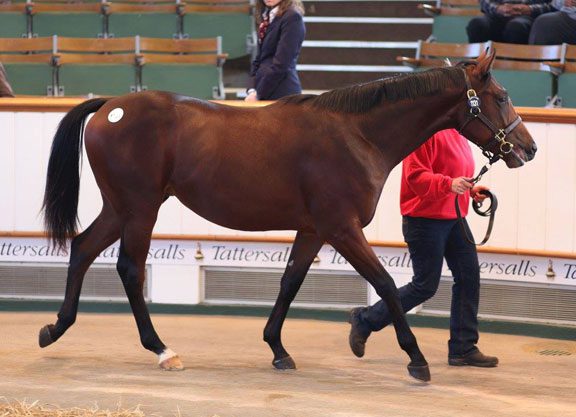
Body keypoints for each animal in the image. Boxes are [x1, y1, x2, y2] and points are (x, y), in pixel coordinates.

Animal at [40, 48, 536, 382]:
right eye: (502, 96)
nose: (528, 148)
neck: (357, 134)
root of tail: (110, 106)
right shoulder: (342, 228)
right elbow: (385, 283)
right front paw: (416, 359)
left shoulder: (314, 229)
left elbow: (290, 282)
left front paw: (278, 349)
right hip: (140, 208)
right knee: (129, 269)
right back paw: (161, 350)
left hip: (121, 207)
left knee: (82, 248)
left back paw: (54, 329)